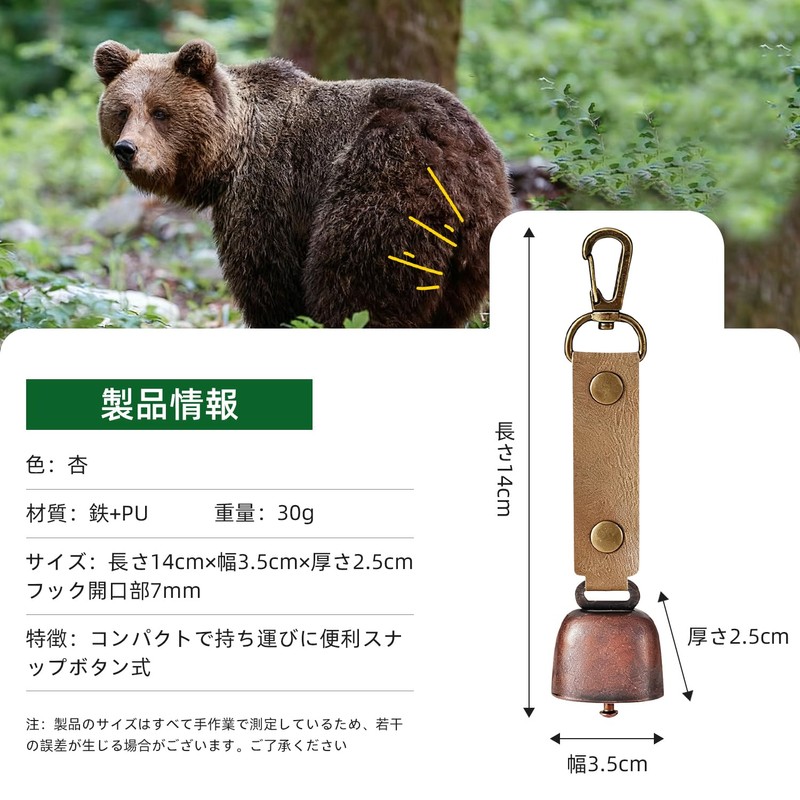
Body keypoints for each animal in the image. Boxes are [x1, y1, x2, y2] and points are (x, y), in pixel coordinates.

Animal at [94, 39, 512, 327]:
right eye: (122, 110)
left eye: (161, 112)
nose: (127, 149)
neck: (229, 155)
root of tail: (456, 152)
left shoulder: (269, 189)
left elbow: (269, 283)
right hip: (477, 242)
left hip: (385, 181)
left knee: (357, 288)